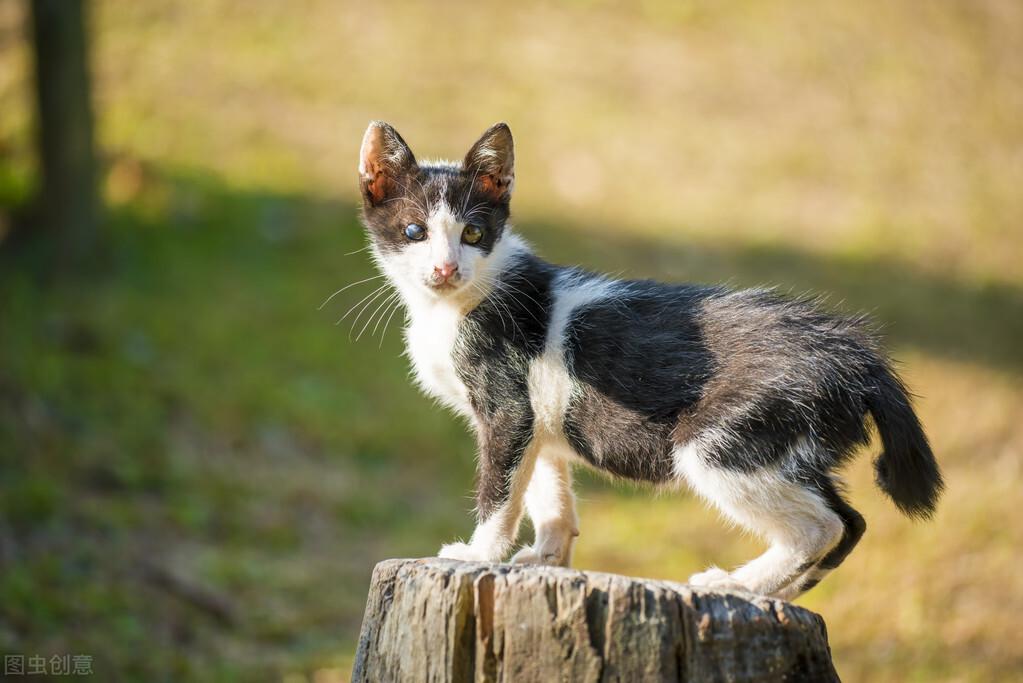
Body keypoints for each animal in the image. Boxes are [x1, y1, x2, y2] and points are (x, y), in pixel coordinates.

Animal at [353, 121, 941, 597]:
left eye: (473, 233)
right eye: (414, 232)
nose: (445, 269)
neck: (454, 306)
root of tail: (854, 352)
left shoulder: (508, 408)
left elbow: (500, 489)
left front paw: (480, 554)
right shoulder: (537, 417)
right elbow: (546, 485)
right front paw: (546, 557)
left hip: (723, 440)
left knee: (822, 526)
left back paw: (737, 585)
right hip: (792, 446)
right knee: (850, 519)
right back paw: (779, 592)